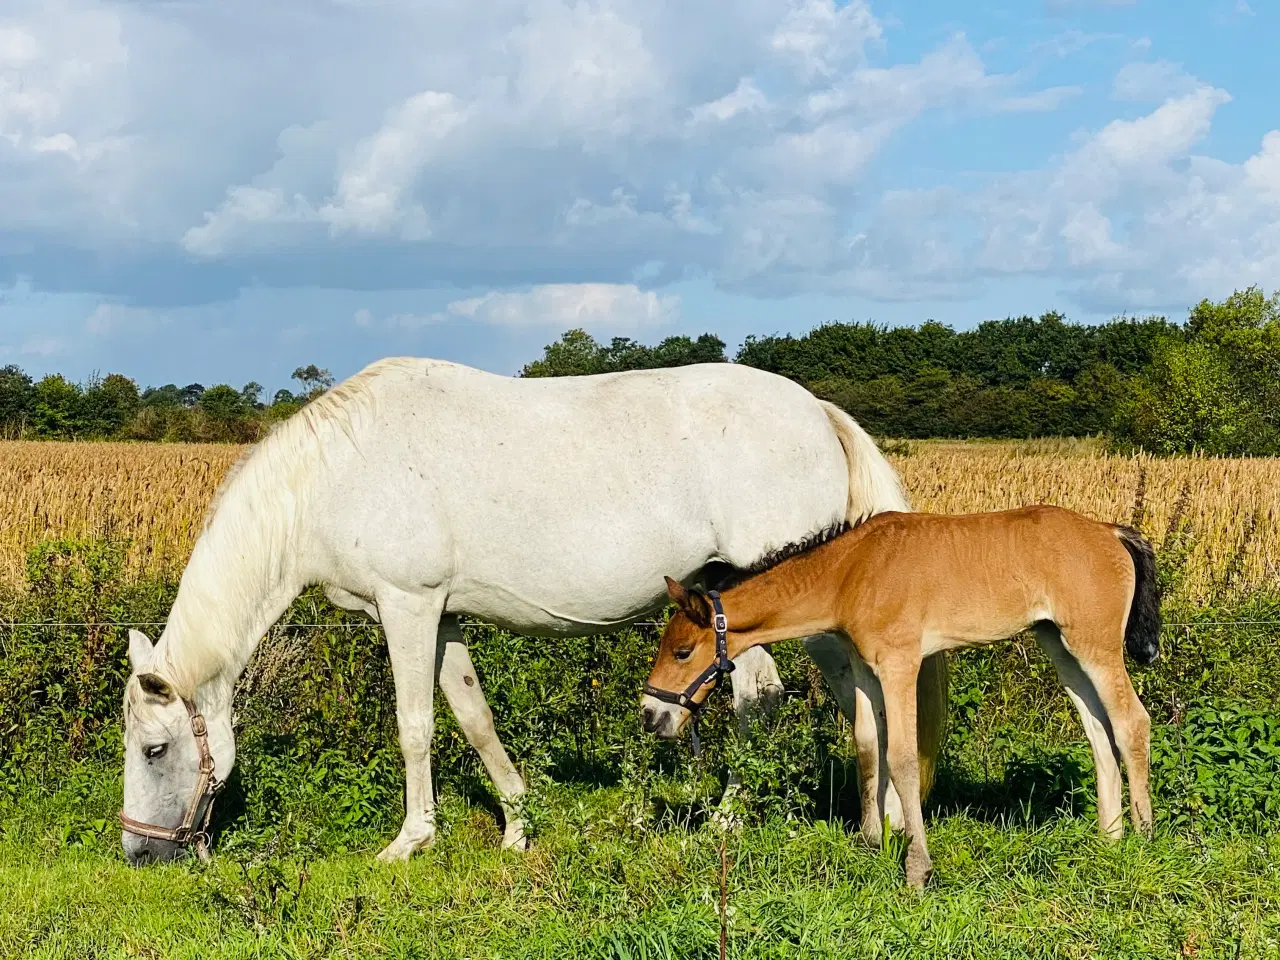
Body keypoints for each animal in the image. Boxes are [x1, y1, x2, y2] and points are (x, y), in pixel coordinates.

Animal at [122, 358, 952, 870]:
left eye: (155, 751)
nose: (140, 853)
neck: (335, 476)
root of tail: (818, 411)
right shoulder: (444, 616)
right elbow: (472, 715)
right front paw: (519, 826)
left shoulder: (407, 606)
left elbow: (416, 725)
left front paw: (410, 841)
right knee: (834, 692)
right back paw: (862, 817)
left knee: (798, 695)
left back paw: (761, 819)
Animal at [640, 506, 1162, 890]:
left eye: (683, 651)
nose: (651, 715)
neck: (851, 570)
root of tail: (1110, 531)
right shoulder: (866, 670)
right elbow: (869, 748)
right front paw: (871, 842)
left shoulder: (899, 665)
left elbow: (905, 758)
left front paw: (917, 868)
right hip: (1060, 645)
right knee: (1100, 731)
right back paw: (1109, 838)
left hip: (1095, 646)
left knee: (1132, 722)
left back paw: (1143, 837)